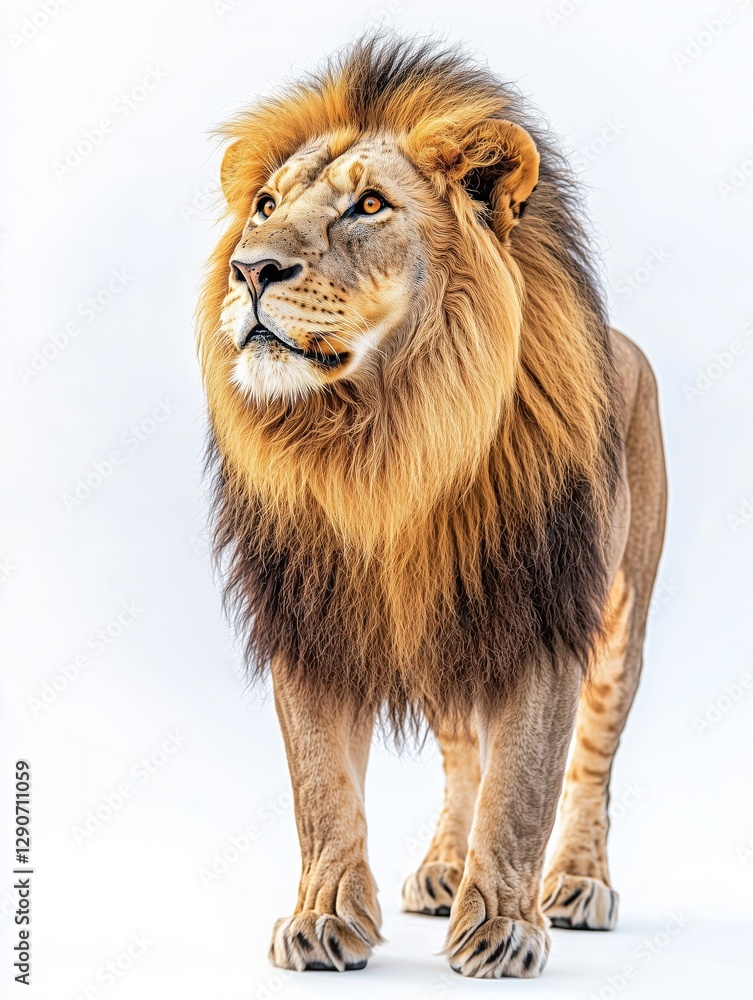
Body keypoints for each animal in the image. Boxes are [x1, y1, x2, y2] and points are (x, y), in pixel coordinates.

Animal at [198, 36, 667, 979]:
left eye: (368, 206)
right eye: (264, 206)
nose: (249, 267)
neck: (385, 437)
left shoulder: (542, 614)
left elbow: (524, 786)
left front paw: (504, 931)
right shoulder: (312, 619)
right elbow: (323, 789)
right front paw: (322, 919)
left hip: (616, 619)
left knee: (590, 764)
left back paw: (578, 884)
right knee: (462, 759)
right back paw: (446, 868)